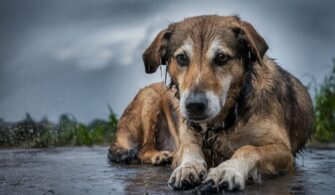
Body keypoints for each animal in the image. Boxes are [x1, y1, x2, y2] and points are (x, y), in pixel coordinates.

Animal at [109, 14, 314, 193]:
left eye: (222, 57)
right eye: (182, 58)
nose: (194, 105)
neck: (224, 119)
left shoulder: (283, 151)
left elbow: (248, 149)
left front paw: (227, 169)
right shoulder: (186, 138)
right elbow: (190, 148)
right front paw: (188, 167)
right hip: (149, 96)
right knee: (142, 150)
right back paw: (159, 156)